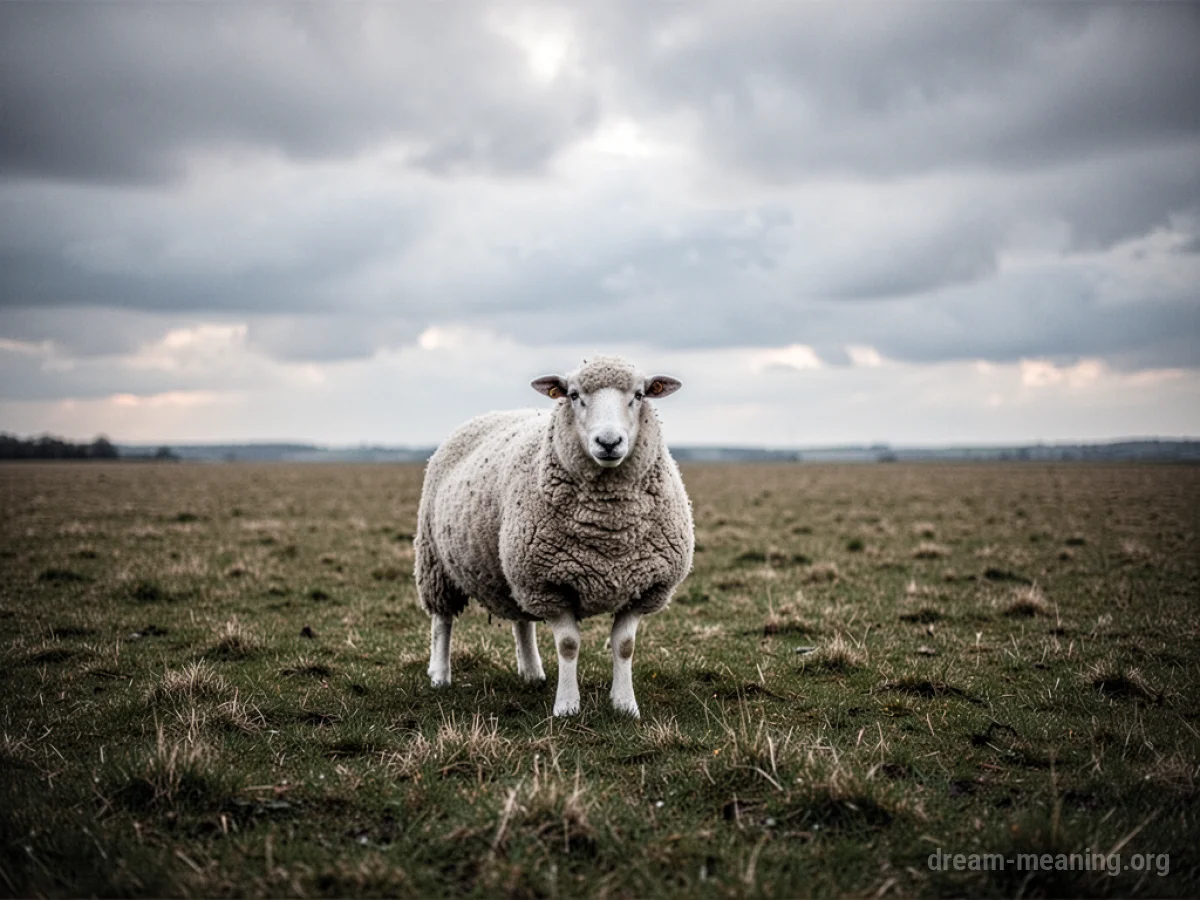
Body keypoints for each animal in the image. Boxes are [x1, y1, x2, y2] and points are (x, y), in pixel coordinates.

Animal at [414, 355, 694, 718]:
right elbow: (569, 645)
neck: (608, 529)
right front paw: (567, 707)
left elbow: (625, 646)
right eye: (573, 395)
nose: (608, 443)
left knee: (521, 621)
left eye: (639, 395)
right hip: (437, 559)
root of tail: (488, 415)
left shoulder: (643, 587)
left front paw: (624, 705)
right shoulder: (549, 584)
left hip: (514, 571)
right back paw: (440, 675)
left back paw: (532, 672)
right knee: (442, 620)